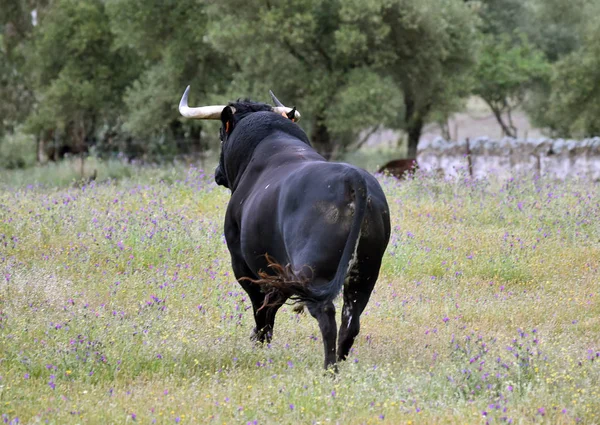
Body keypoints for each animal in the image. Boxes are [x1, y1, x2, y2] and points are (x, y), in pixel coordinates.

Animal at [214, 100, 390, 368]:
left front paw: (258, 345)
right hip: (365, 273)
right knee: (351, 322)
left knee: (326, 316)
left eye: (221, 136)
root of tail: (353, 179)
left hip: (313, 270)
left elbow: (262, 309)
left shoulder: (244, 265)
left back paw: (329, 369)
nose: (217, 173)